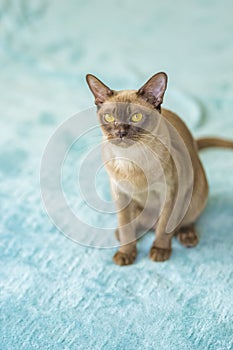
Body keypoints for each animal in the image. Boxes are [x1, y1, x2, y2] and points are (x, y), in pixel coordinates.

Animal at [86, 73, 233, 266]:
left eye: (136, 117)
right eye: (109, 117)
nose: (121, 133)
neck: (132, 161)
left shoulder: (170, 194)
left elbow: (164, 227)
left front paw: (160, 250)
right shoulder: (120, 193)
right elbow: (126, 228)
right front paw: (126, 253)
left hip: (196, 190)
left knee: (185, 219)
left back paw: (186, 236)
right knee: (137, 223)